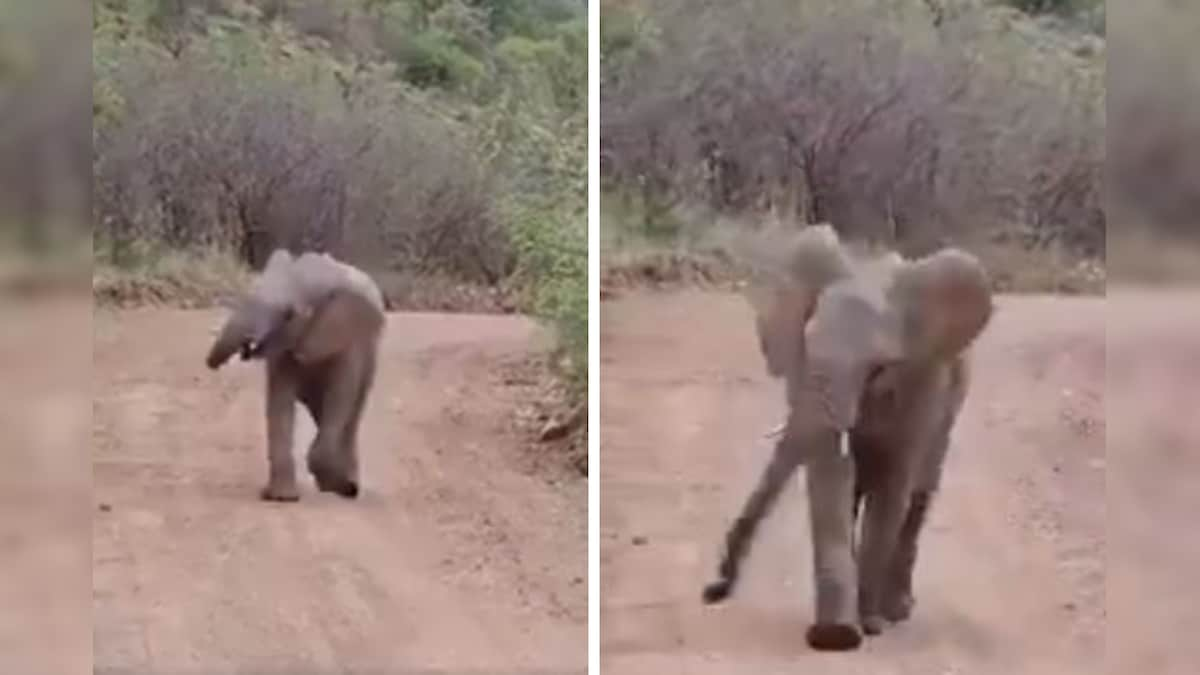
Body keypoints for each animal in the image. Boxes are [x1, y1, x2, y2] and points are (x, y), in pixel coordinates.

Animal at [205, 248, 384, 499]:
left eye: (289, 314)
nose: (246, 347)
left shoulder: (349, 340)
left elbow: (339, 399)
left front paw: (339, 485)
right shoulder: (283, 346)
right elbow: (279, 405)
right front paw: (282, 497)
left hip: (371, 354)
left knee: (352, 412)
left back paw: (344, 486)